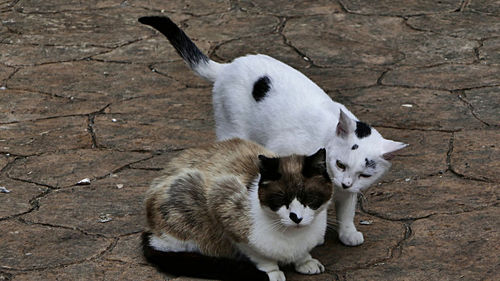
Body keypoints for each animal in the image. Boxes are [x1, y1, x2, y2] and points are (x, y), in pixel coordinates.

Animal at [139, 15, 408, 245]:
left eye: (365, 175)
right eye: (340, 164)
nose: (344, 182)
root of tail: (229, 66)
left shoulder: (349, 191)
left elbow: (346, 209)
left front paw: (348, 232)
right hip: (232, 127)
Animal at [144, 138, 332, 280]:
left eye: (309, 198)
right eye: (280, 200)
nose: (296, 217)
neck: (293, 236)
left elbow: (302, 253)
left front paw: (305, 261)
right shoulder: (224, 207)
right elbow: (261, 257)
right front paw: (273, 272)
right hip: (188, 193)